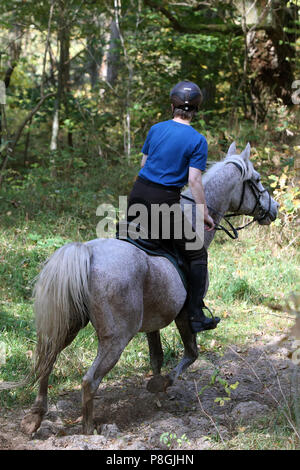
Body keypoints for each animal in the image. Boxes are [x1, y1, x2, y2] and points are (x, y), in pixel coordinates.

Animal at [0, 141, 278, 436]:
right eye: (257, 179)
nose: (274, 208)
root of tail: (87, 252)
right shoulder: (185, 315)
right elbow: (191, 354)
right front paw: (160, 385)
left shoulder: (153, 322)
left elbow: (156, 357)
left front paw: (157, 398)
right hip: (116, 338)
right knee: (89, 381)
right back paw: (89, 431)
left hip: (68, 325)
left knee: (47, 363)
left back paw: (35, 417)